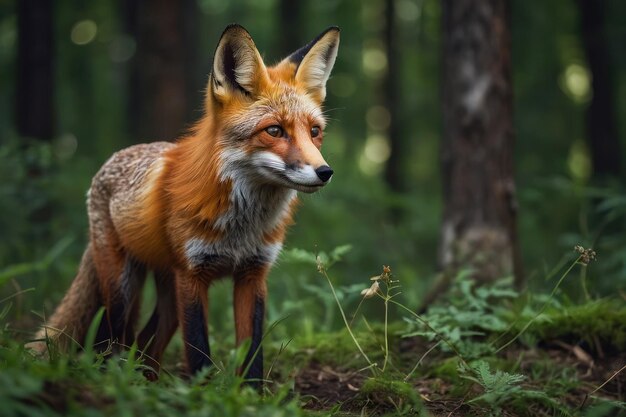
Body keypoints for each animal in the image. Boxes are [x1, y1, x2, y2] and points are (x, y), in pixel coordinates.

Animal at [34, 23, 336, 384]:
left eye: (315, 131)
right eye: (275, 131)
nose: (325, 172)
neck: (241, 227)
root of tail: (114, 158)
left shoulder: (252, 274)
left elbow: (252, 353)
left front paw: (249, 392)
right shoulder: (192, 275)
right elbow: (198, 351)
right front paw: (201, 392)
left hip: (167, 295)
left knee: (145, 344)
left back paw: (149, 384)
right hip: (123, 287)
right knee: (111, 342)